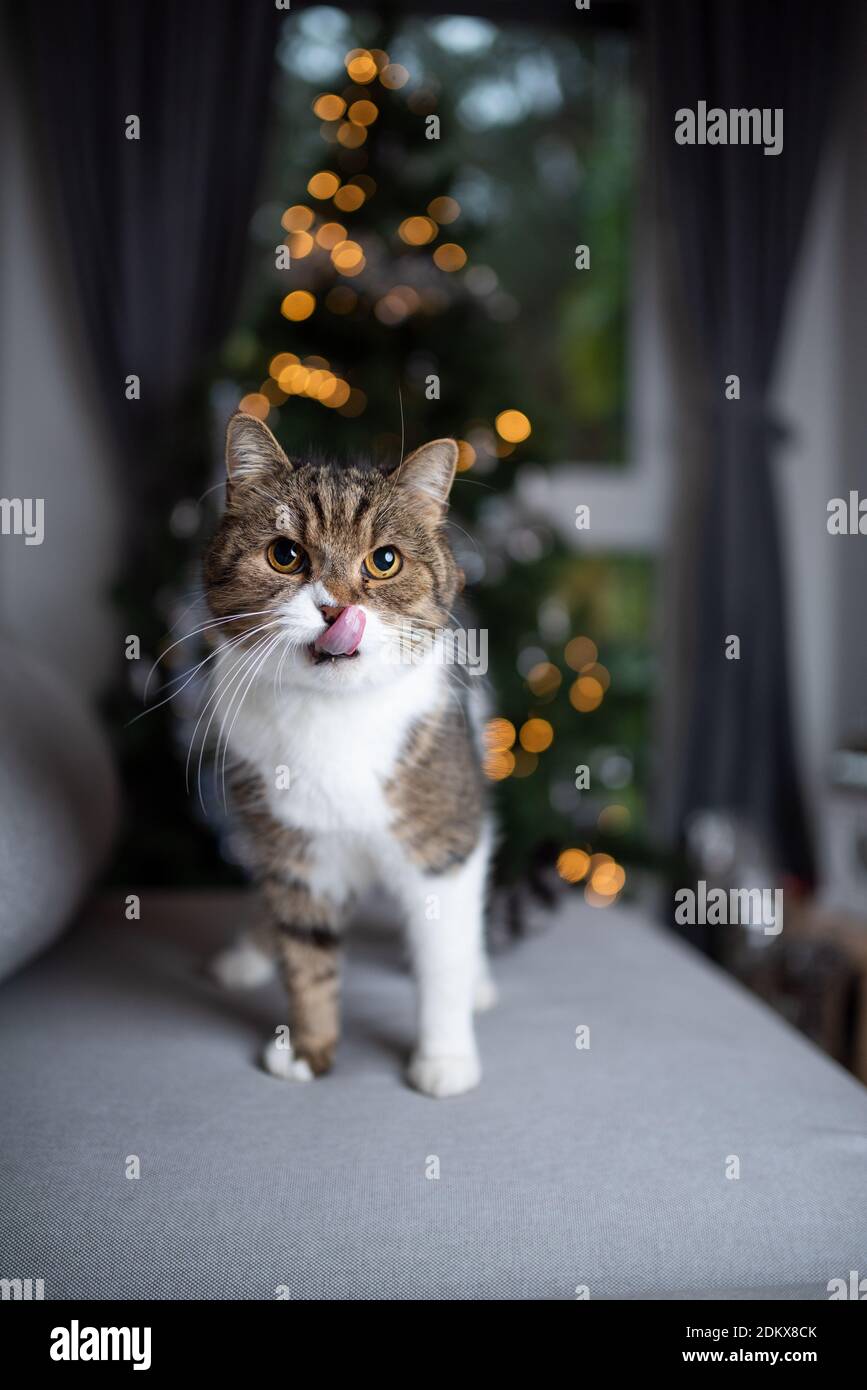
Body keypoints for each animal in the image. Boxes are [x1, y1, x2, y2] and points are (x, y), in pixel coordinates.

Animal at [198, 411, 491, 1095]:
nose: (336, 609)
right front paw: (309, 1048)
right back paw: (250, 952)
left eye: (384, 561)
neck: (333, 718)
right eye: (285, 555)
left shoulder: (443, 842)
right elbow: (307, 957)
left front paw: (445, 1058)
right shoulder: (297, 853)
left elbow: (442, 958)